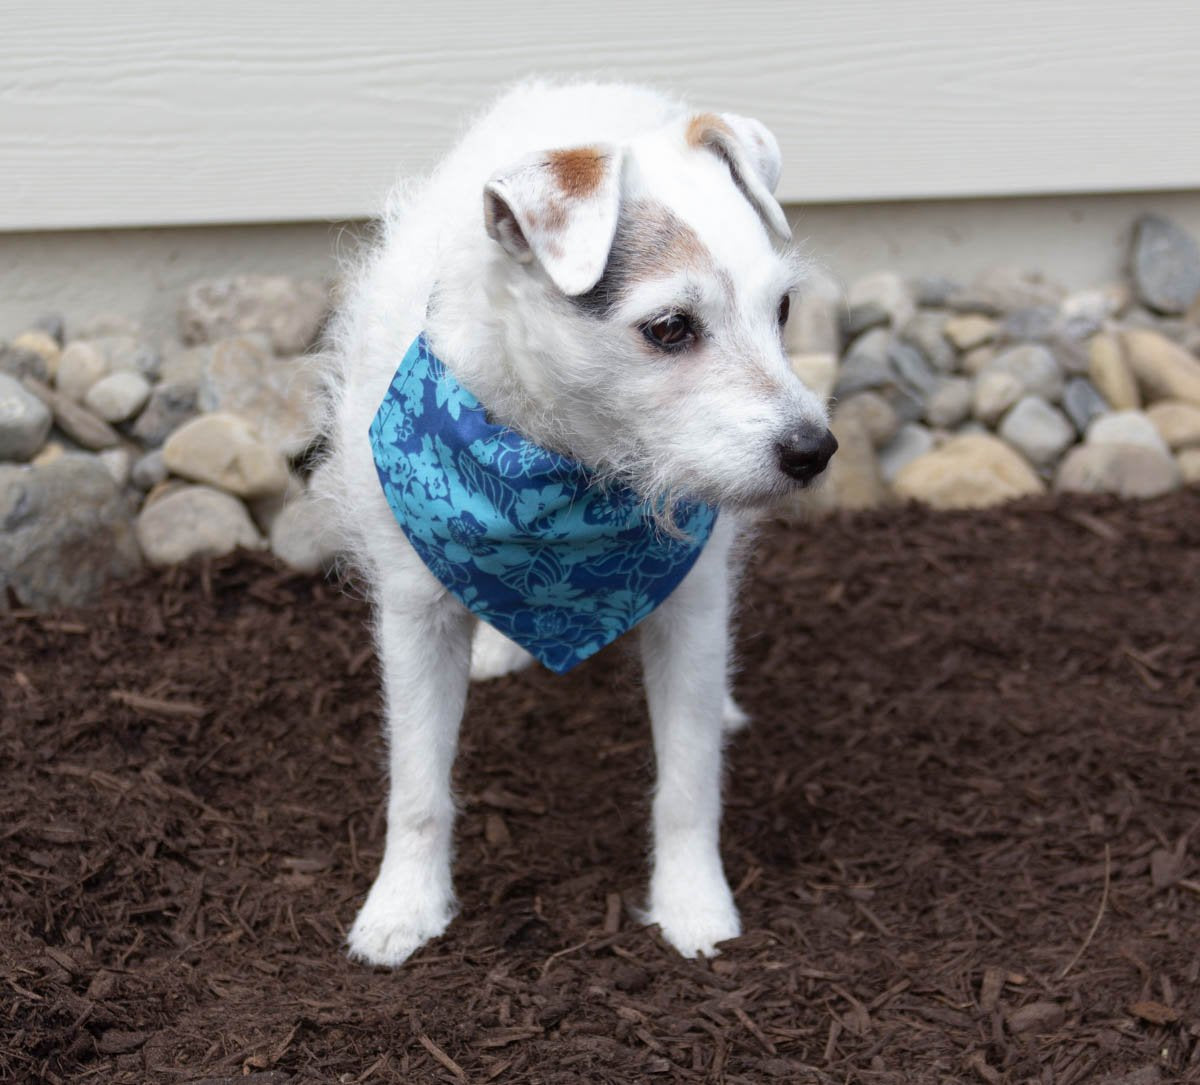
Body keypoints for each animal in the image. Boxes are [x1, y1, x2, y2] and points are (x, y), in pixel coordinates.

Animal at [314, 82, 835, 964]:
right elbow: (417, 784)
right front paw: (403, 906)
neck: (570, 467)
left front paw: (693, 904)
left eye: (784, 308)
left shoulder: (689, 606)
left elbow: (687, 781)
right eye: (670, 327)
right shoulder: (416, 608)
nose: (814, 449)